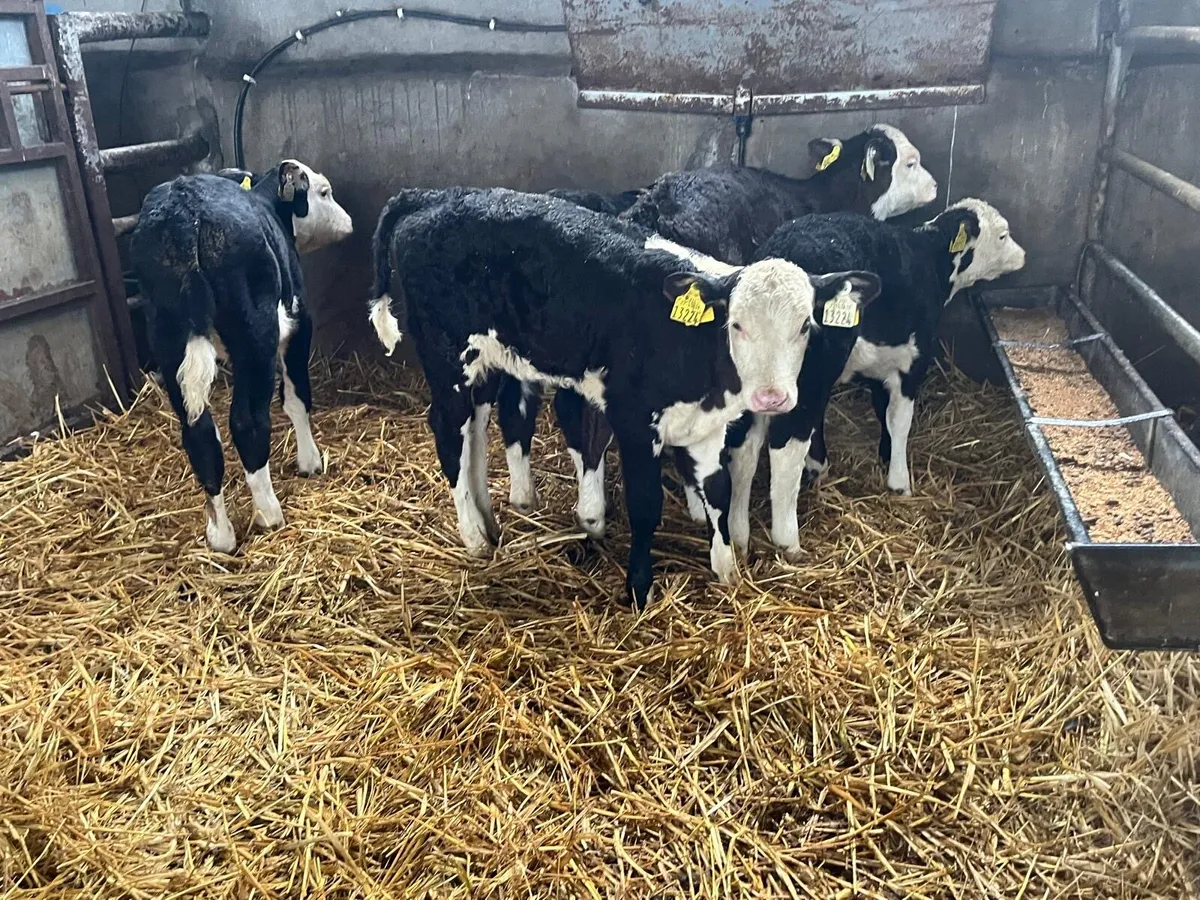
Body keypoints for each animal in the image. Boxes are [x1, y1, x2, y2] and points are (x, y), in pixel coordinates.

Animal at [130, 159, 353, 553]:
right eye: (324, 192)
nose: (348, 222)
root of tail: (184, 210)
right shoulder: (300, 323)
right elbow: (296, 397)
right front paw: (310, 461)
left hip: (168, 337)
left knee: (199, 432)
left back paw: (220, 534)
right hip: (255, 335)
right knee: (248, 422)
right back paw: (268, 514)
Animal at [367, 188, 879, 609]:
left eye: (805, 325)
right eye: (736, 324)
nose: (772, 397)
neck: (688, 341)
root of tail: (432, 195)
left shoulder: (707, 426)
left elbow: (718, 491)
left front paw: (727, 571)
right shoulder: (635, 421)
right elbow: (646, 505)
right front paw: (638, 590)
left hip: (483, 363)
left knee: (472, 431)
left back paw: (489, 522)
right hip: (445, 358)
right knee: (447, 433)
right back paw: (473, 536)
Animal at [716, 199, 1027, 558]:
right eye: (1002, 235)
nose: (1022, 255)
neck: (928, 259)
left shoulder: (879, 369)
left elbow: (881, 414)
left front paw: (855, 461)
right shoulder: (913, 363)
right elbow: (900, 421)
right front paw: (899, 481)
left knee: (744, 448)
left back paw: (739, 534)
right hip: (805, 382)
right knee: (785, 448)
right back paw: (788, 541)